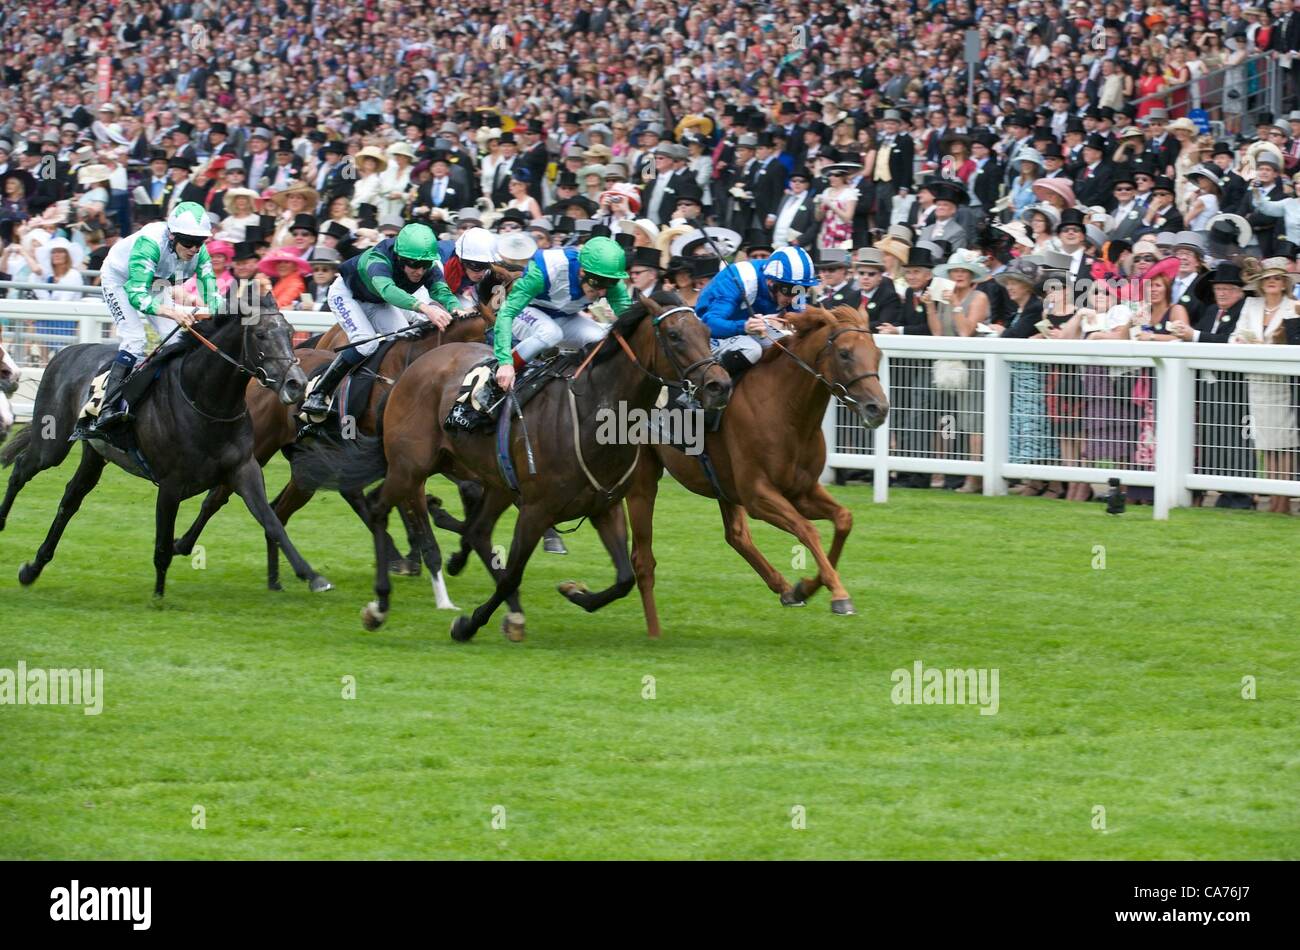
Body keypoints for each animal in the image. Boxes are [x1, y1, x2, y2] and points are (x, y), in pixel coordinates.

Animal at [0, 293, 330, 597]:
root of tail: (66, 351)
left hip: (94, 453)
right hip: (52, 443)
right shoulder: (171, 484)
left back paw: (33, 568)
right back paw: (3, 523)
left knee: (70, 499)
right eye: (261, 334)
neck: (207, 403)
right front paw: (158, 596)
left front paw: (312, 576)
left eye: (290, 331)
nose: (297, 384)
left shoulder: (244, 469)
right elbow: (161, 544)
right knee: (21, 469)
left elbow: (272, 521)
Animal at [358, 291, 733, 639]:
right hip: (411, 467)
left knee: (477, 529)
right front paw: (468, 625)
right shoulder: (536, 510)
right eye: (674, 335)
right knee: (378, 508)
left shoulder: (604, 506)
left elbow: (624, 578)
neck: (591, 412)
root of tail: (410, 371)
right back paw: (380, 604)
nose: (721, 385)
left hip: (495, 481)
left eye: (706, 330)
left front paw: (575, 592)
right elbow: (511, 575)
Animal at [624, 306, 889, 639]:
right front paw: (839, 595)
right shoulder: (758, 495)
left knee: (737, 536)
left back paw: (784, 588)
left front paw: (805, 587)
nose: (878, 409)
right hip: (645, 472)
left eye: (877, 353)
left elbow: (843, 519)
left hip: (723, 484)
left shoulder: (801, 490)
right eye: (844, 353)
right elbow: (807, 530)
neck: (787, 409)